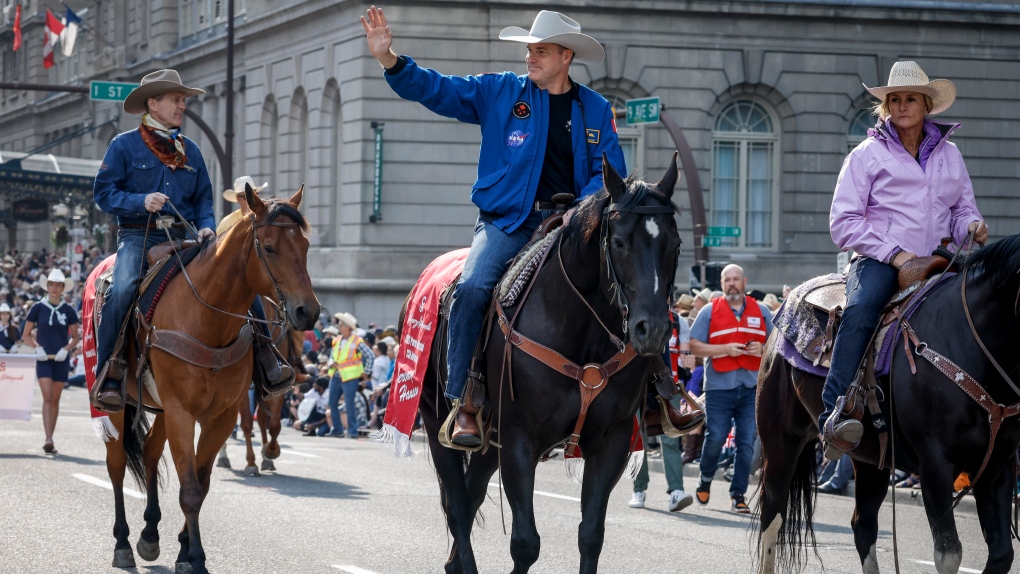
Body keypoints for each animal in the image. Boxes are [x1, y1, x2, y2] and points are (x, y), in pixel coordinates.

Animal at [99, 188, 316, 574]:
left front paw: (184, 550)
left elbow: (202, 483)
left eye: (305, 245)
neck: (208, 319)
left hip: (162, 410)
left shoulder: (220, 417)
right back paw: (123, 543)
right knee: (117, 465)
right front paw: (197, 559)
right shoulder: (183, 413)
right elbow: (190, 490)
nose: (309, 311)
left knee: (150, 452)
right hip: (120, 407)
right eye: (269, 247)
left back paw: (150, 534)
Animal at [401, 154, 681, 570]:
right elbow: (525, 543)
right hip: (438, 421)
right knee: (457, 505)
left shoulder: (610, 442)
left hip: (490, 442)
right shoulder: (520, 439)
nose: (654, 330)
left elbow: (591, 536)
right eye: (619, 243)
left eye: (675, 245)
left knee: (470, 496)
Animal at [754, 234, 1020, 574]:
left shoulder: (997, 466)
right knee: (773, 515)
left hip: (871, 458)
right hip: (781, 441)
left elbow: (1001, 554)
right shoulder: (935, 463)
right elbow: (948, 555)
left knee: (863, 525)